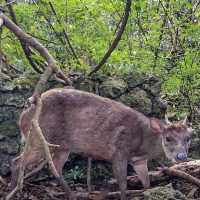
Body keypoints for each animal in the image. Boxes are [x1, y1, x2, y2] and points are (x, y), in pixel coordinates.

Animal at [9, 88, 194, 199]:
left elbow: (147, 182)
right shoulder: (119, 151)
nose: (181, 156)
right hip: (39, 137)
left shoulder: (139, 161)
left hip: (62, 146)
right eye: (168, 138)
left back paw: (72, 194)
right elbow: (123, 184)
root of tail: (22, 117)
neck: (143, 144)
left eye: (189, 137)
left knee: (55, 167)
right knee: (17, 161)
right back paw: (12, 190)